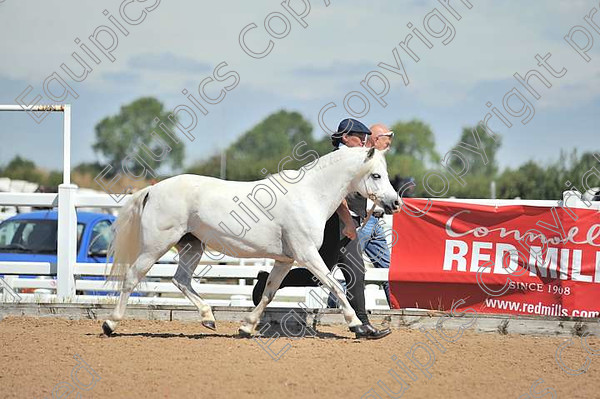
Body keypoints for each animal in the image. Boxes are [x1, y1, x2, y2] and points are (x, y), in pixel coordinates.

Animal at [102, 147, 398, 338]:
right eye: (376, 175)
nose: (395, 203)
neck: (310, 195)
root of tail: (152, 190)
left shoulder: (285, 260)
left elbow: (269, 291)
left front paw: (246, 326)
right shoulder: (307, 255)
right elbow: (336, 286)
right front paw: (357, 325)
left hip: (192, 246)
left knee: (181, 280)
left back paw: (208, 319)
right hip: (156, 246)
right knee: (132, 277)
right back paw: (110, 324)